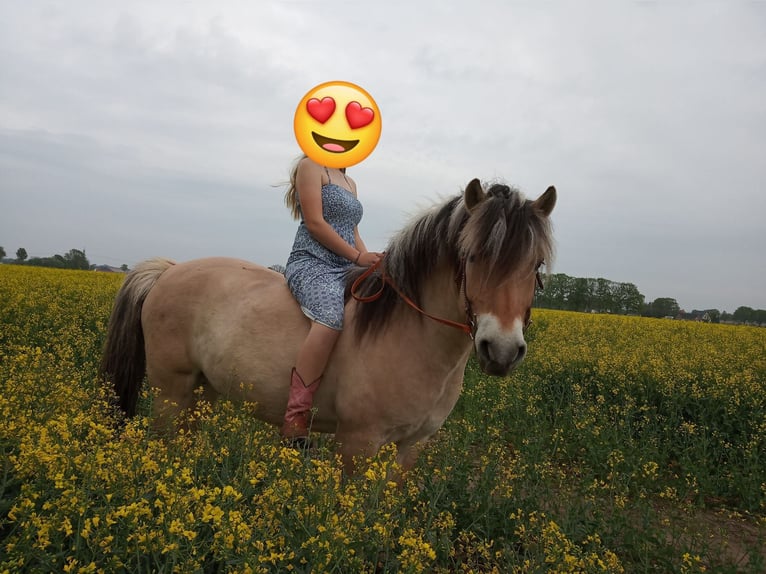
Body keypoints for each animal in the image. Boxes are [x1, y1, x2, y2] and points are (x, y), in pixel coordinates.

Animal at [100, 178, 556, 473]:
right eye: (473, 256)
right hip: (170, 390)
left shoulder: (410, 448)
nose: (501, 350)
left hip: (201, 391)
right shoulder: (357, 444)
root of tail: (168, 270)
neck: (412, 335)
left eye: (535, 265)